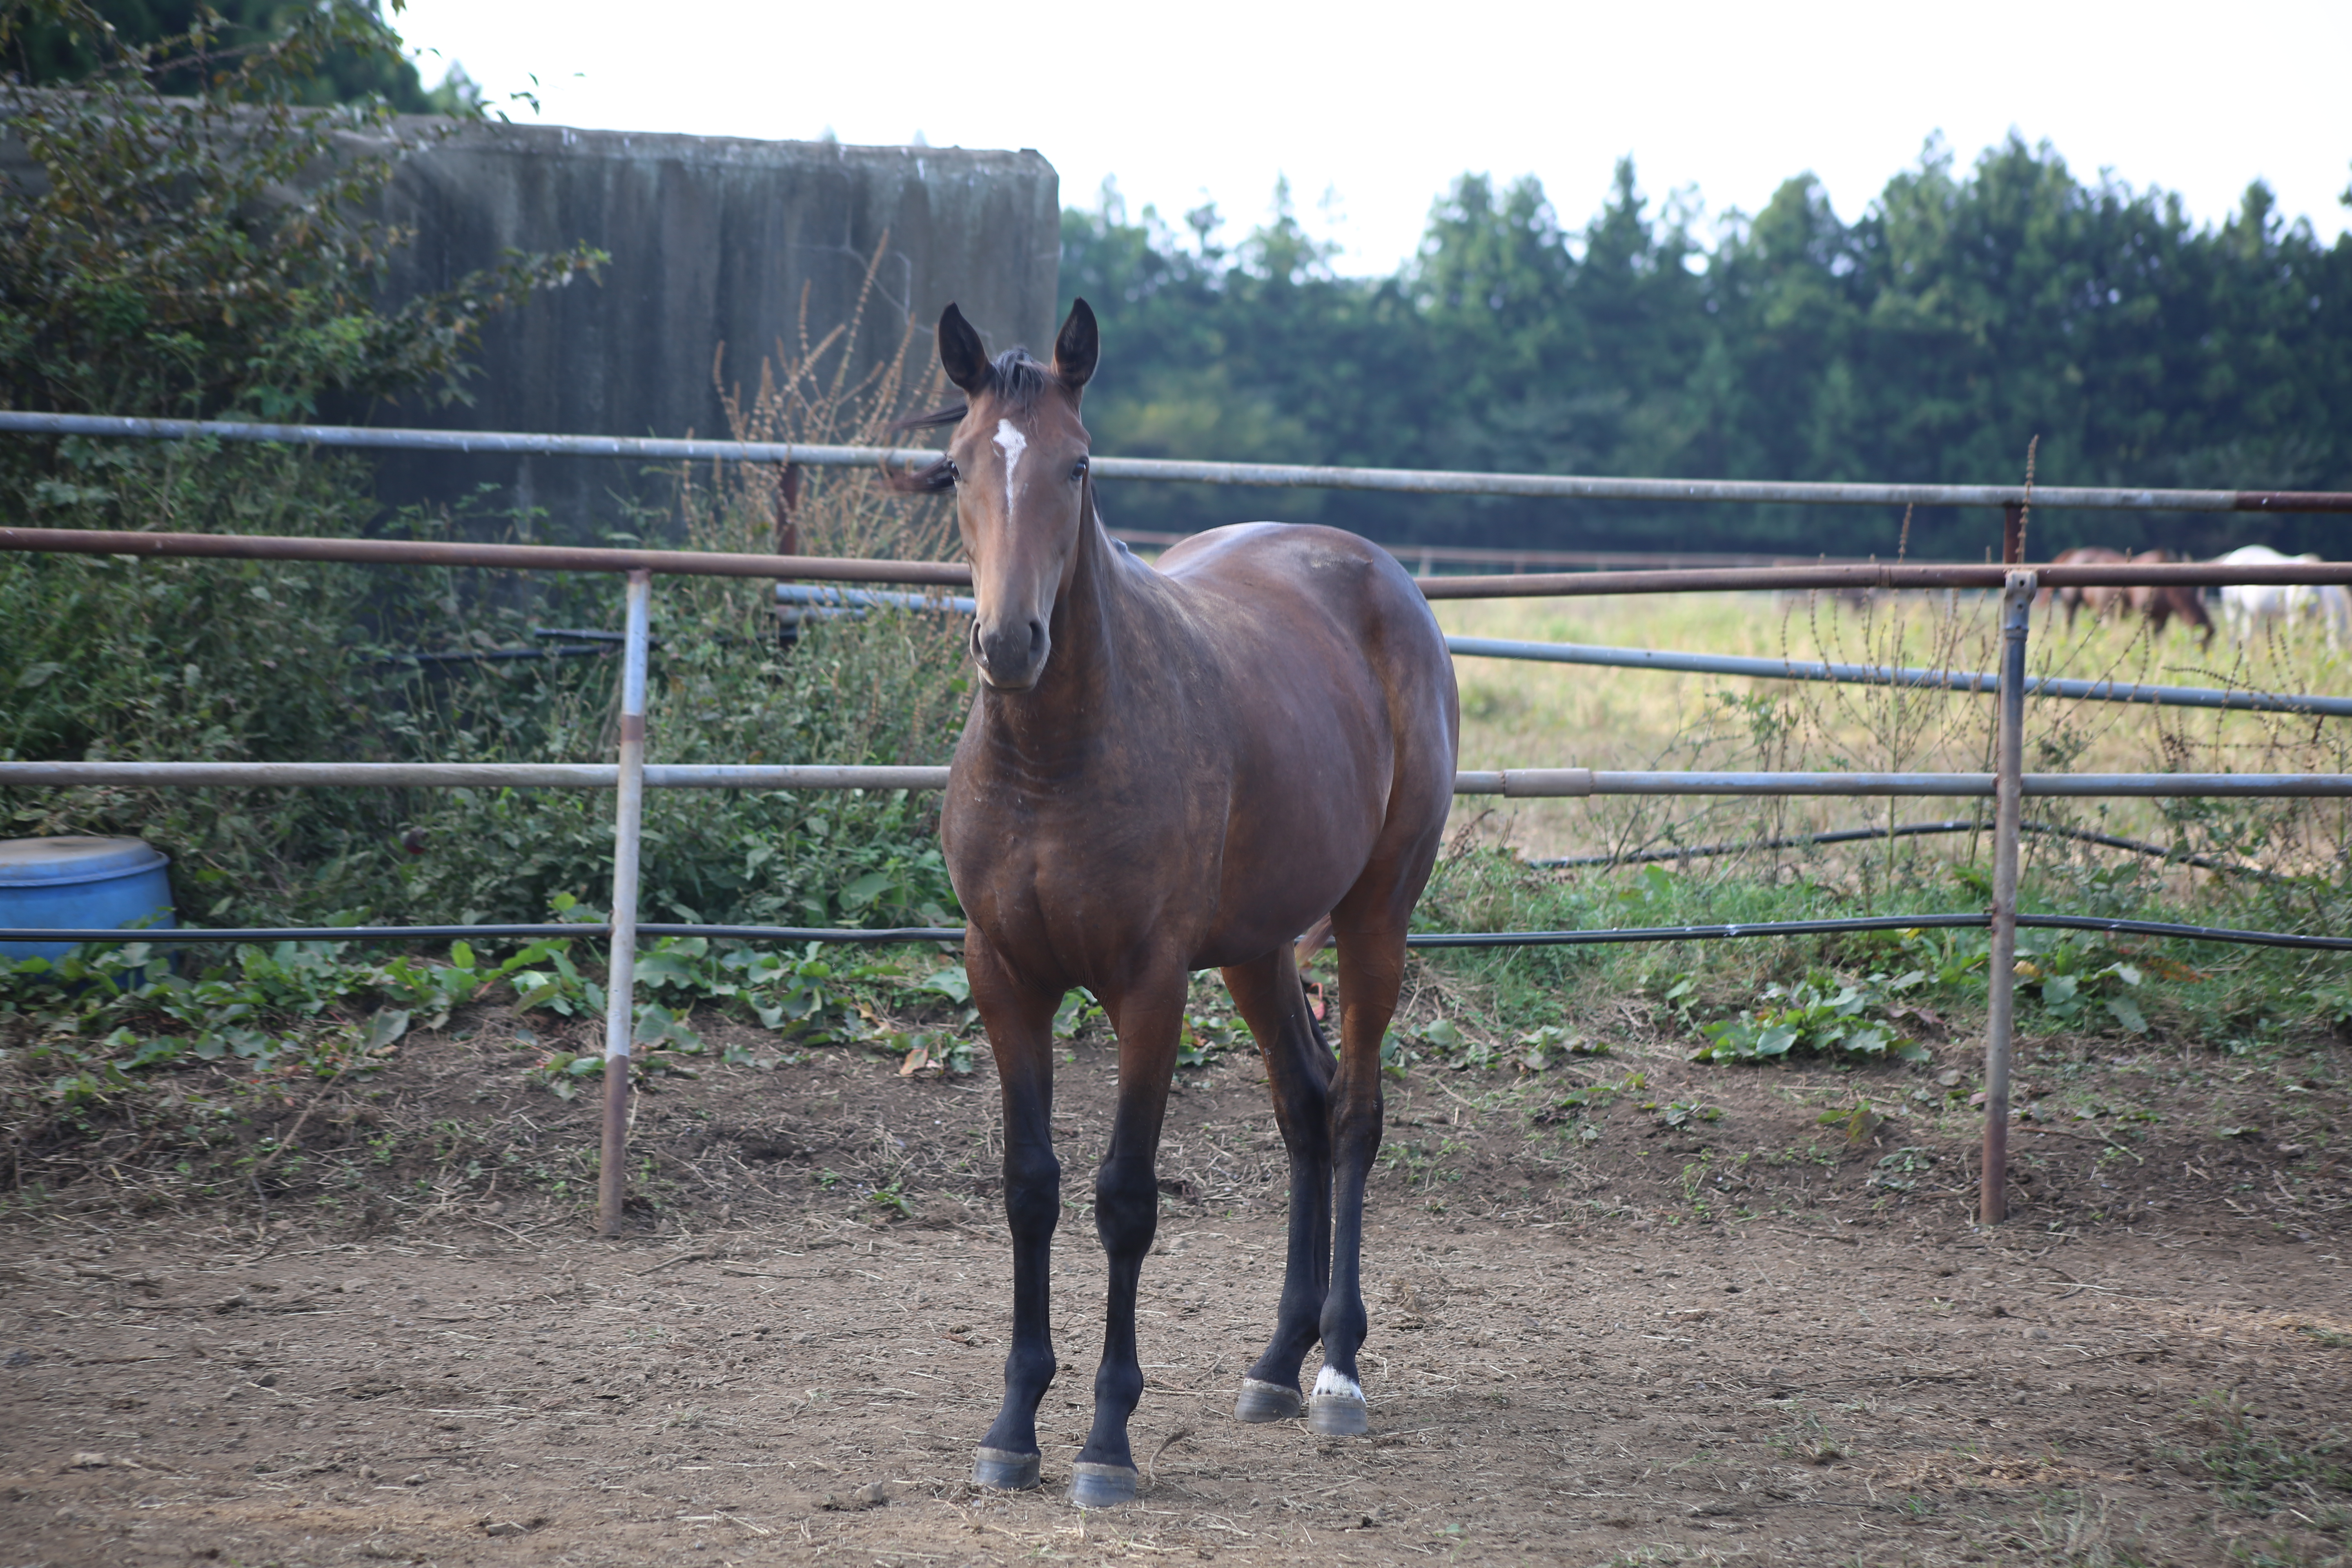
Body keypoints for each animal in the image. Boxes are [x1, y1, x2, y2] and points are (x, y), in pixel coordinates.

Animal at [893, 297, 1449, 1504]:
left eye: (1078, 464)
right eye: (958, 467)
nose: (1010, 642)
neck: (1053, 759)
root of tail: (1380, 575)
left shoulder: (1147, 989)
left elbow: (1124, 1198)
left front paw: (1106, 1439)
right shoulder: (1003, 979)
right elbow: (1031, 1186)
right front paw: (1012, 1425)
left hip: (1372, 916)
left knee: (1354, 1111)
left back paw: (1336, 1367)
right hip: (1256, 948)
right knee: (1303, 1105)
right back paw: (1278, 1361)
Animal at [2211, 545, 2342, 658]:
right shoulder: (2295, 615)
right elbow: (2296, 637)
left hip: (2249, 612)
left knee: (2247, 633)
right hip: (2234, 608)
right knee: (2233, 630)